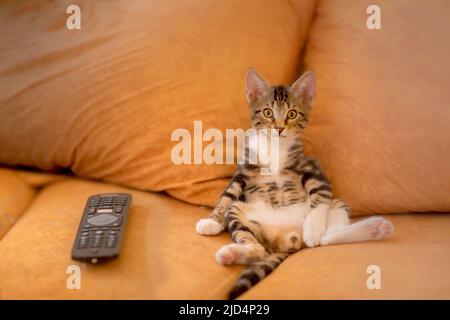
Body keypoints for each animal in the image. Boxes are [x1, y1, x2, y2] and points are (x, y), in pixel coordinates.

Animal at [195, 68, 392, 300]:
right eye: (268, 112)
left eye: (292, 114)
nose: (279, 128)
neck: (275, 149)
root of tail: (290, 234)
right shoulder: (243, 172)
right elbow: (227, 195)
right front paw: (212, 221)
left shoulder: (312, 169)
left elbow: (320, 196)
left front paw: (314, 227)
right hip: (241, 214)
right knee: (258, 248)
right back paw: (231, 253)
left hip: (336, 204)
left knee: (327, 236)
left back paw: (368, 229)